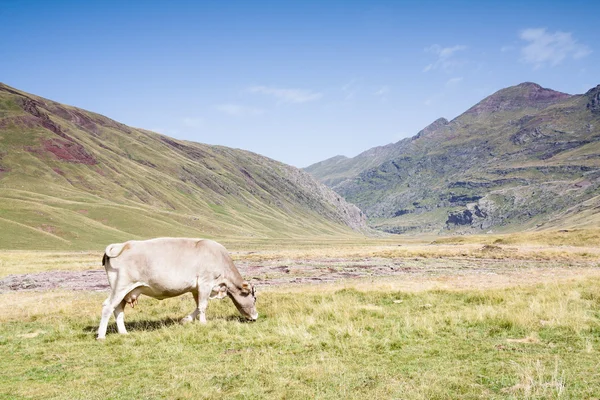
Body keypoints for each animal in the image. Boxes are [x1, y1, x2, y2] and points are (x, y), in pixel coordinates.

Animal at [96, 238, 258, 340]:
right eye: (254, 298)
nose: (256, 317)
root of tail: (120, 245)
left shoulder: (195, 288)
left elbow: (198, 306)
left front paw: (186, 320)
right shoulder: (205, 282)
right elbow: (203, 306)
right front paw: (203, 323)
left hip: (126, 290)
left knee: (118, 309)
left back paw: (123, 332)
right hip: (121, 286)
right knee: (108, 306)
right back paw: (101, 336)